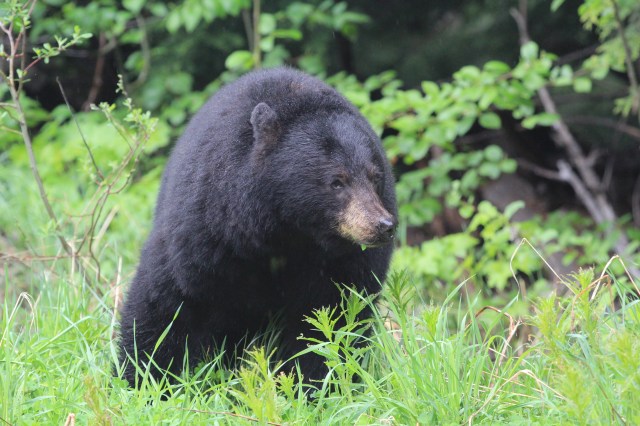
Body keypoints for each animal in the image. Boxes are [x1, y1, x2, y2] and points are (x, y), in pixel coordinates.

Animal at [118, 67, 397, 386]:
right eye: (337, 181)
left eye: (375, 177)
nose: (383, 225)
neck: (283, 231)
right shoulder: (206, 228)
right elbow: (167, 299)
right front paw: (144, 378)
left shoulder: (344, 263)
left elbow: (332, 318)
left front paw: (314, 384)